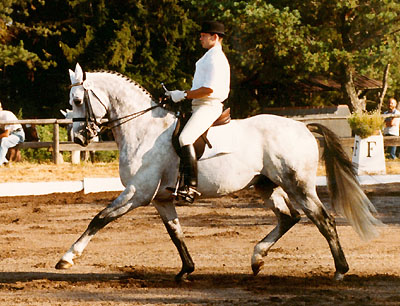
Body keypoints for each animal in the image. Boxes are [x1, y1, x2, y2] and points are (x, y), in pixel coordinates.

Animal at [55, 63, 382, 280]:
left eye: (77, 100)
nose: (78, 137)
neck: (143, 128)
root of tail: (303, 126)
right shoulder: (161, 199)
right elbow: (175, 232)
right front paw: (186, 270)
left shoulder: (138, 192)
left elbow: (100, 218)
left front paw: (67, 258)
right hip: (266, 185)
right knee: (288, 217)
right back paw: (257, 259)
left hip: (297, 184)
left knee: (323, 219)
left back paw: (340, 271)